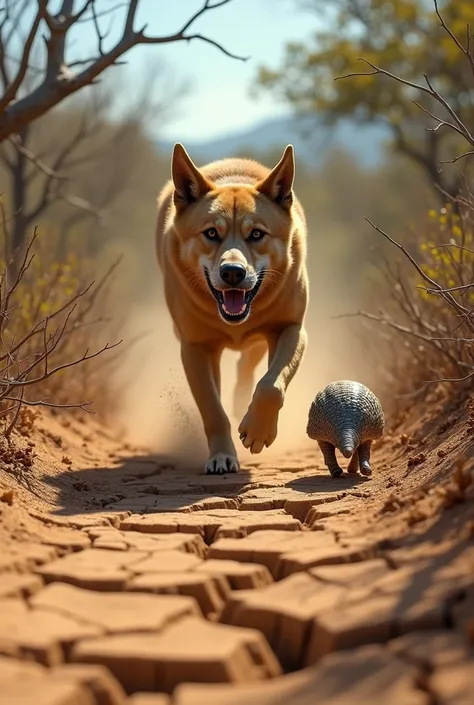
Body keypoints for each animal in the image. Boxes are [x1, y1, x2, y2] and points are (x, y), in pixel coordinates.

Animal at [157, 143, 310, 472]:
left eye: (257, 234)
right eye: (211, 233)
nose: (232, 272)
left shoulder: (291, 328)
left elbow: (271, 385)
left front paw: (258, 430)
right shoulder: (195, 347)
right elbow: (213, 409)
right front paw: (222, 457)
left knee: (248, 364)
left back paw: (242, 402)